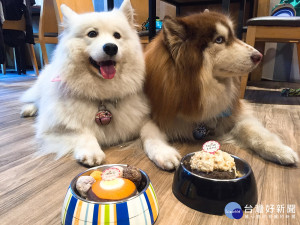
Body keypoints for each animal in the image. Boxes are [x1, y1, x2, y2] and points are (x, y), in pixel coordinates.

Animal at [20, 0, 149, 165]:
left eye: (117, 35)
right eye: (92, 34)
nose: (111, 47)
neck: (102, 95)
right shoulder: (50, 130)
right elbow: (81, 131)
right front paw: (92, 151)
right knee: (36, 100)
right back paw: (29, 109)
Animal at [140, 10, 298, 169]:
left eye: (233, 36)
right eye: (219, 40)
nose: (259, 56)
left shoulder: (232, 111)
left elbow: (253, 130)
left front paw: (280, 150)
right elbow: (149, 132)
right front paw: (164, 153)